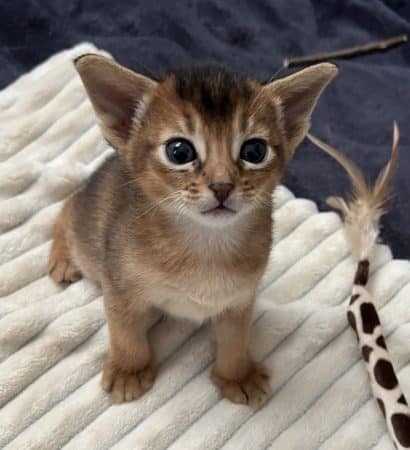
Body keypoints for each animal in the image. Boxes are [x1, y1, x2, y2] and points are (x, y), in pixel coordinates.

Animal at [47, 54, 336, 406]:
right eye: (179, 151)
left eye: (254, 152)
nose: (222, 186)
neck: (205, 245)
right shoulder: (118, 288)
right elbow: (125, 332)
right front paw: (129, 371)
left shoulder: (240, 298)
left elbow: (236, 338)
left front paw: (237, 375)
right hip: (89, 246)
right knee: (67, 205)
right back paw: (63, 259)